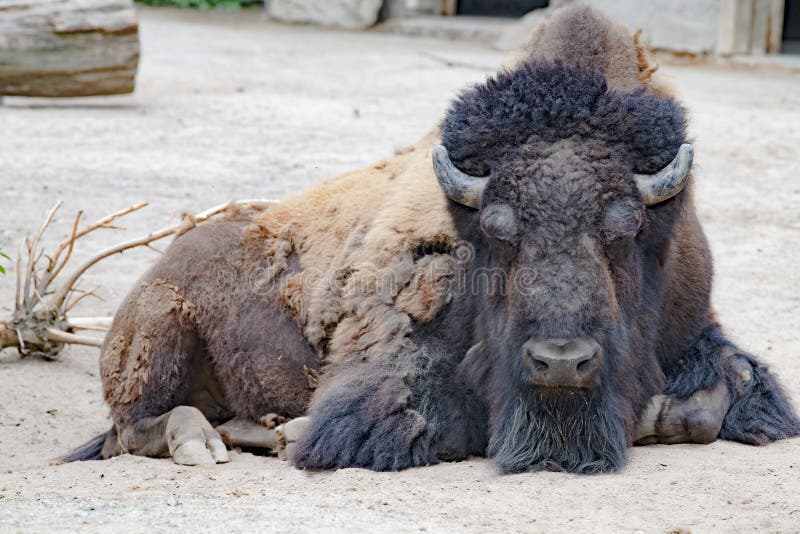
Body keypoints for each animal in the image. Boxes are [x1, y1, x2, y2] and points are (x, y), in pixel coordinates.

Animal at [65, 4, 796, 474]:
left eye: (624, 229)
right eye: (497, 232)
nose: (561, 363)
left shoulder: (699, 329)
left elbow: (714, 399)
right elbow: (432, 413)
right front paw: (304, 433)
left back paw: (264, 433)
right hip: (158, 332)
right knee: (135, 426)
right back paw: (203, 443)